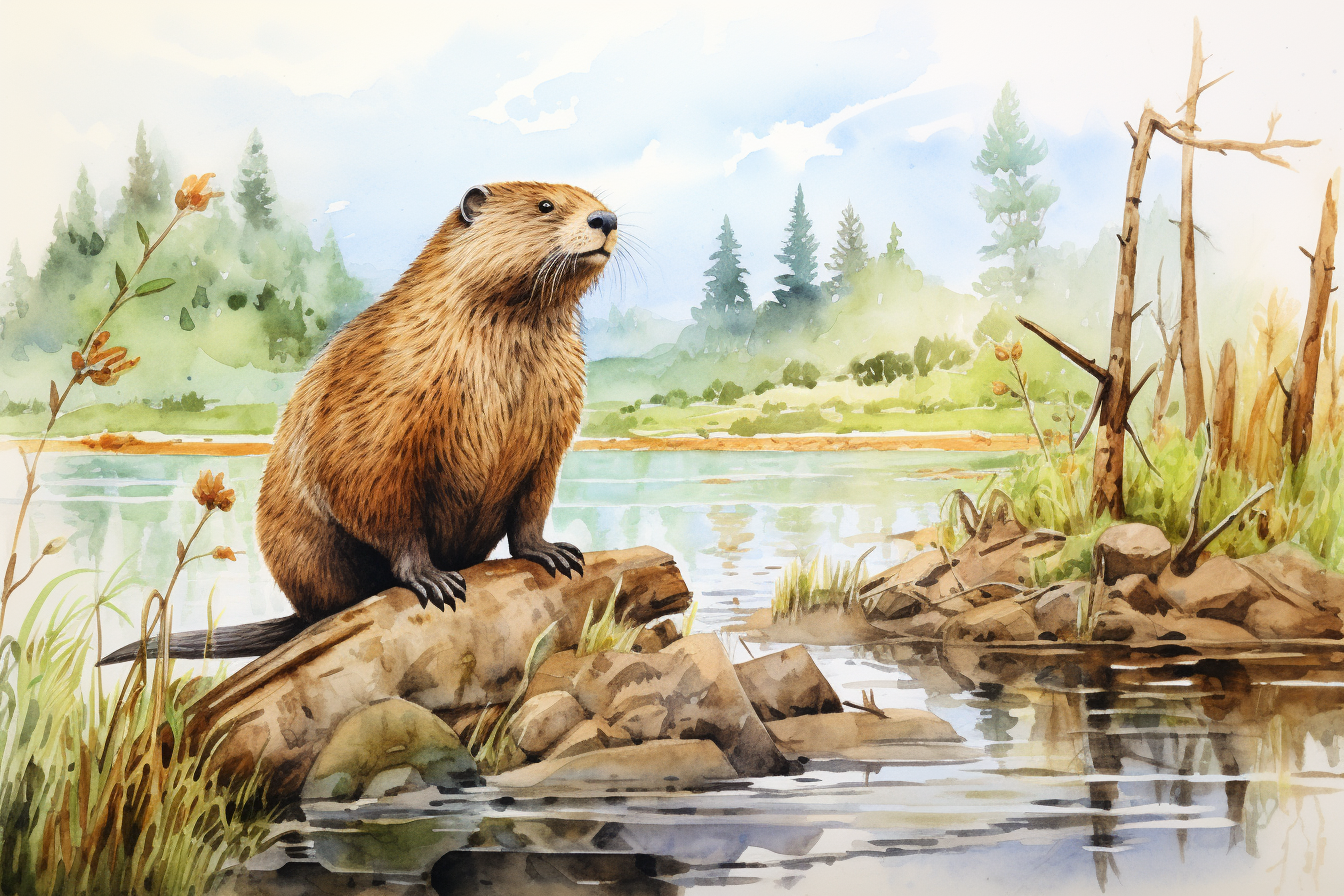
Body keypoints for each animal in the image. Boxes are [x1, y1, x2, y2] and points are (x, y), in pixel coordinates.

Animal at [100, 180, 618, 666]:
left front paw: (554, 552)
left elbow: (533, 502)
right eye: (545, 206)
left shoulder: (550, 433)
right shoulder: (382, 396)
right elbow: (375, 495)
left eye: (594, 199)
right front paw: (433, 580)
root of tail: (298, 614)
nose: (606, 219)